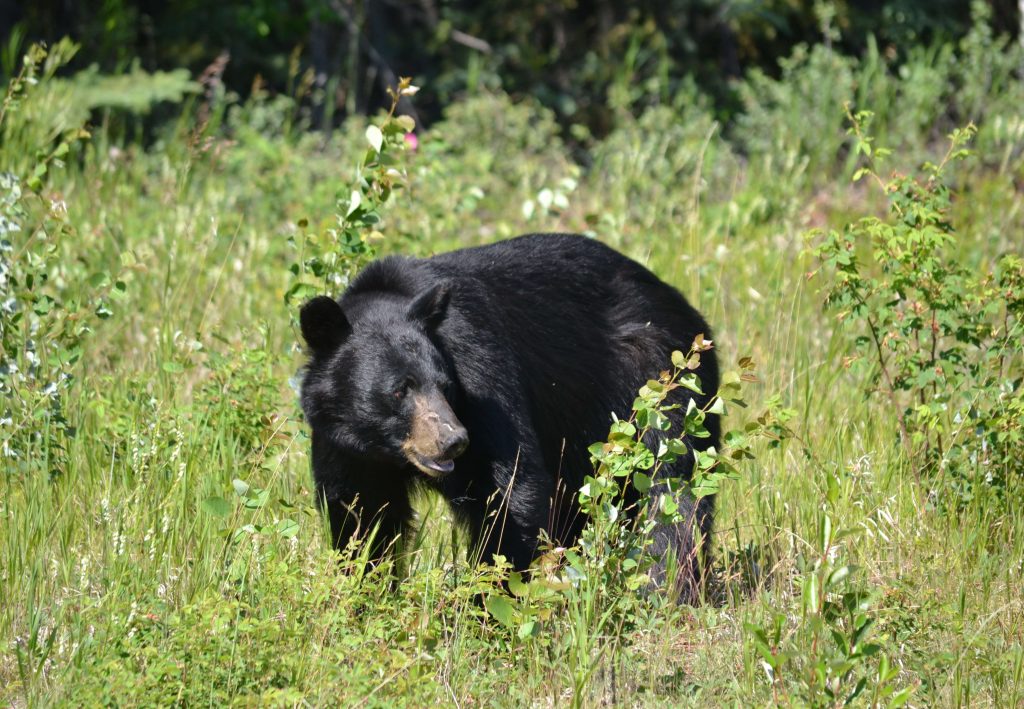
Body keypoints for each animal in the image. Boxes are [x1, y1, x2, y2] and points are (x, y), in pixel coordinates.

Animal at [299, 235, 720, 602]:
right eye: (400, 390)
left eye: (445, 385)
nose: (453, 440)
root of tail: (687, 308)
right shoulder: (345, 442)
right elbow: (361, 513)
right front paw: (364, 594)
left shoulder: (478, 360)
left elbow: (509, 488)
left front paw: (490, 604)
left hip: (663, 378)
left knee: (673, 491)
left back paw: (667, 589)